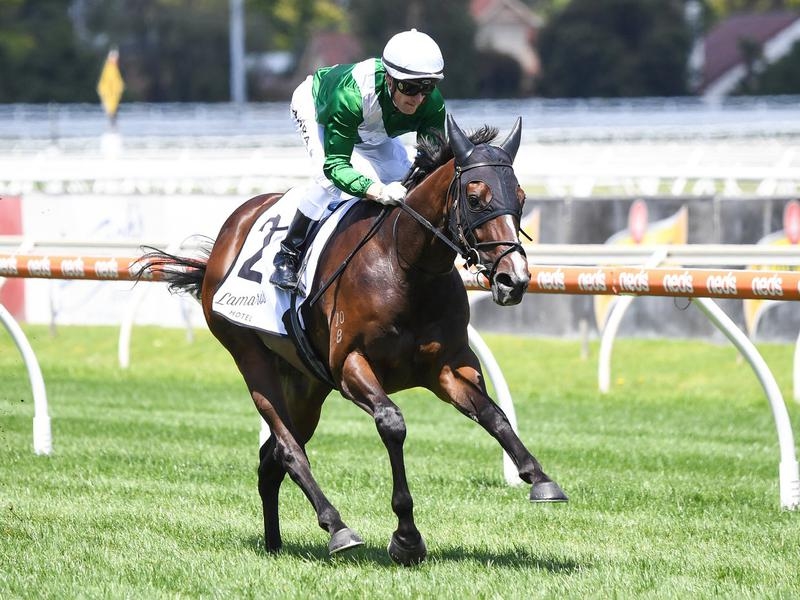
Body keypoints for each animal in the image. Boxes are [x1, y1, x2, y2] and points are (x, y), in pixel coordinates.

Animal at [136, 114, 567, 566]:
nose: (513, 279)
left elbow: (495, 416)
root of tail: (227, 235)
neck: (404, 263)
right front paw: (406, 537)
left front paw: (540, 478)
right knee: (289, 449)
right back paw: (337, 527)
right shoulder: (350, 366)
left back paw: (274, 543)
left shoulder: (448, 366)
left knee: (271, 459)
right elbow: (392, 423)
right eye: (475, 196)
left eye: (520, 196)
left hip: (306, 384)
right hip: (252, 360)